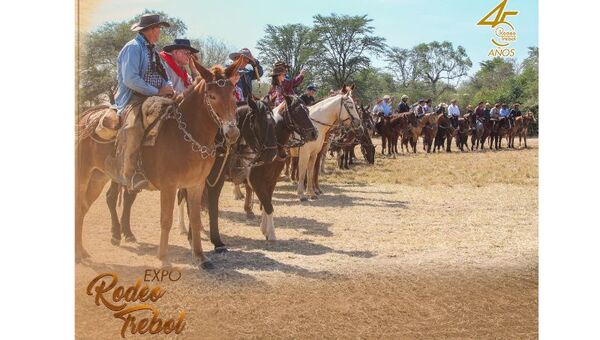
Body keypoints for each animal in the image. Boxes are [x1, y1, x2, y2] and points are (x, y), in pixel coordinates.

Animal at [74, 60, 241, 268]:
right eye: (212, 96)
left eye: (233, 93)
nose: (232, 133)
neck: (185, 134)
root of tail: (86, 116)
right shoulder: (169, 186)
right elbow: (166, 220)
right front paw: (163, 259)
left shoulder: (196, 184)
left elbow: (195, 219)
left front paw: (201, 257)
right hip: (83, 175)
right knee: (80, 206)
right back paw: (81, 252)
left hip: (98, 177)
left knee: (84, 206)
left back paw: (84, 251)